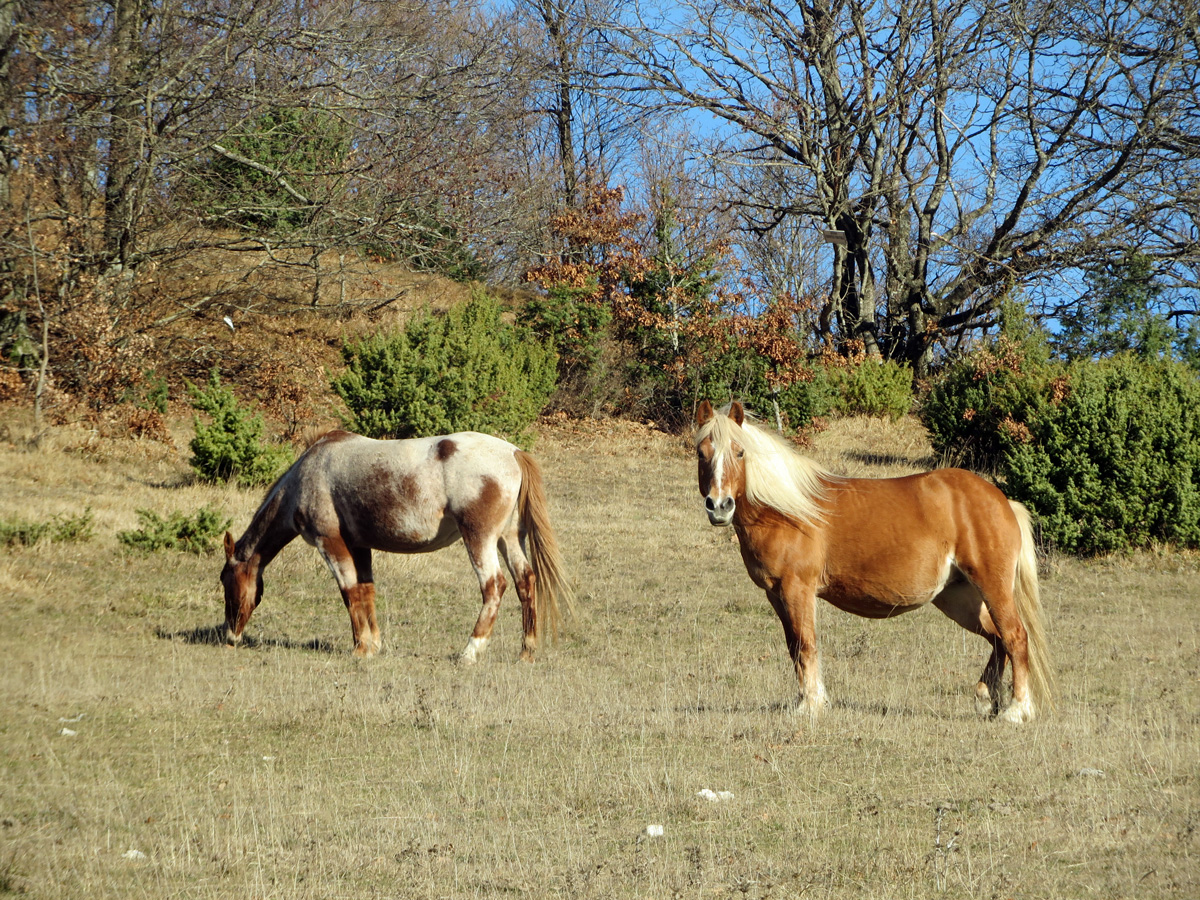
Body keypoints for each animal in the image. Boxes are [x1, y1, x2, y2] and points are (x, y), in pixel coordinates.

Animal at [222, 429, 576, 662]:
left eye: (226, 582)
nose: (230, 636)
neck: (307, 475)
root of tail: (514, 453)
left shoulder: (331, 543)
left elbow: (348, 592)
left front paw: (360, 648)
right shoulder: (359, 546)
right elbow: (365, 591)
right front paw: (373, 644)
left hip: (480, 539)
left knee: (494, 586)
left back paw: (470, 651)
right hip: (509, 538)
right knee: (525, 582)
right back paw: (526, 650)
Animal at [696, 400, 1051, 724]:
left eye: (740, 452)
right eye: (702, 453)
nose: (719, 506)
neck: (787, 510)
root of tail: (1003, 501)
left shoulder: (797, 590)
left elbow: (806, 644)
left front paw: (810, 706)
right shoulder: (776, 594)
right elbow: (794, 646)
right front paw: (808, 701)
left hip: (992, 586)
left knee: (1015, 636)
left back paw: (1017, 710)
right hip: (957, 597)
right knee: (998, 638)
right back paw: (986, 699)